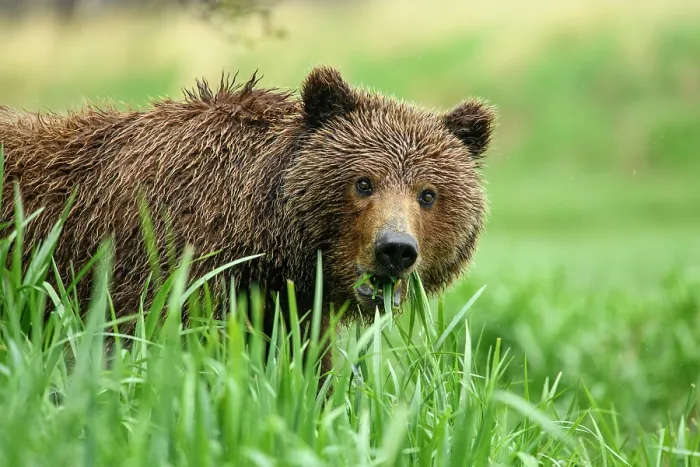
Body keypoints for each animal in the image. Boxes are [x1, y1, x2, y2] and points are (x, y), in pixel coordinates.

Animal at [0, 66, 495, 376]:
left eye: (428, 194)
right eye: (363, 182)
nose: (394, 249)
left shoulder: (291, 302)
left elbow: (308, 368)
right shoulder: (166, 264)